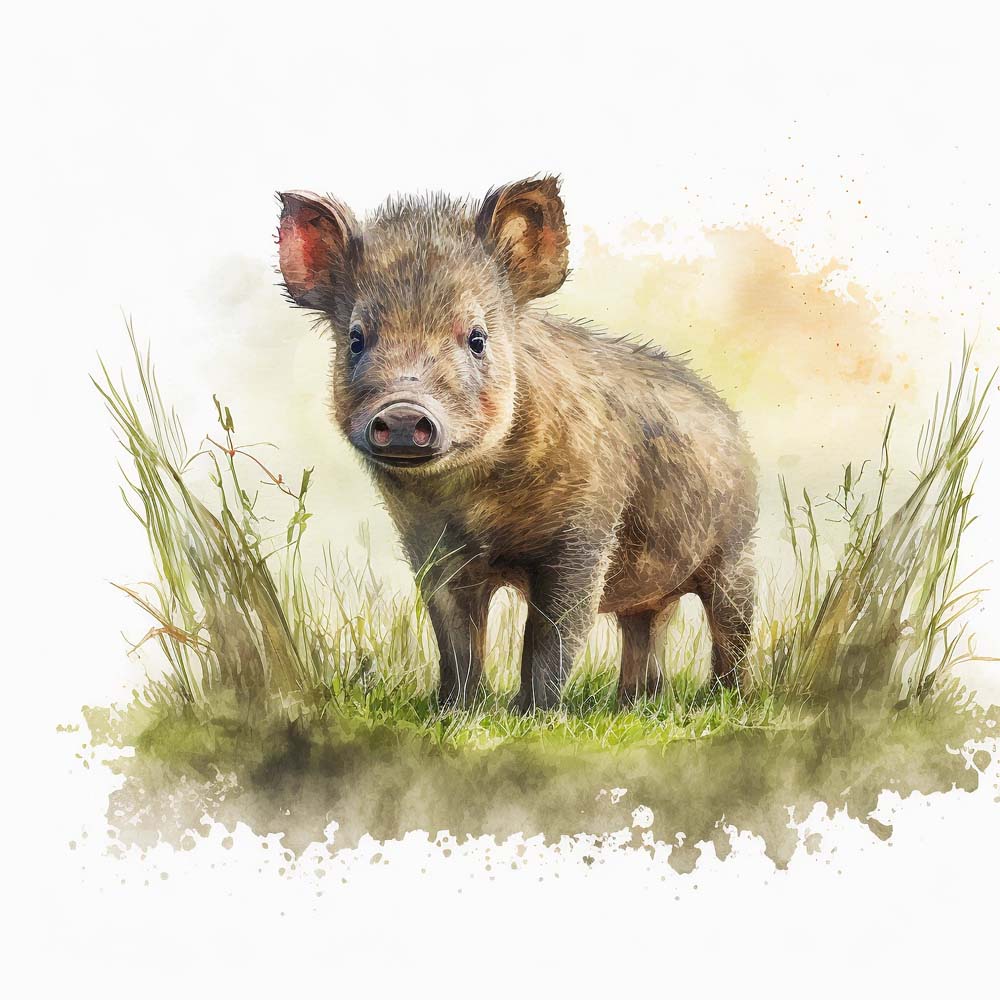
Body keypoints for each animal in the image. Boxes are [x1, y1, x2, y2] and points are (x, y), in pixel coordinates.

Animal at [277, 176, 758, 711]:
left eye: (477, 338)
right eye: (357, 339)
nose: (402, 413)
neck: (476, 504)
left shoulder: (586, 533)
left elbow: (552, 634)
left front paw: (532, 714)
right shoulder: (431, 546)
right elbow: (455, 636)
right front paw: (453, 710)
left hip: (738, 549)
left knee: (732, 627)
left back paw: (724, 700)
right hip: (654, 588)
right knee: (645, 629)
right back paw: (634, 705)